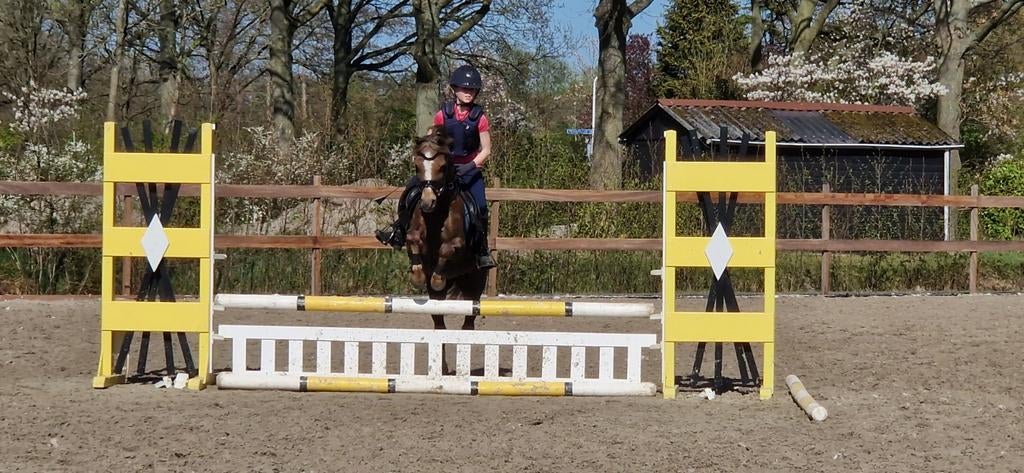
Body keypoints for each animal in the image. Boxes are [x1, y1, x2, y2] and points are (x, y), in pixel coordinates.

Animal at [406, 126, 488, 340]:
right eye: (417, 167)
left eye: (442, 167)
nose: (427, 203)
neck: (436, 214)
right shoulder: (413, 234)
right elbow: (413, 239)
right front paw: (418, 276)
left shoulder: (458, 243)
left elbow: (446, 249)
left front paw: (437, 279)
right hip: (439, 301)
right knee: (439, 321)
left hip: (474, 286)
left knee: (469, 321)